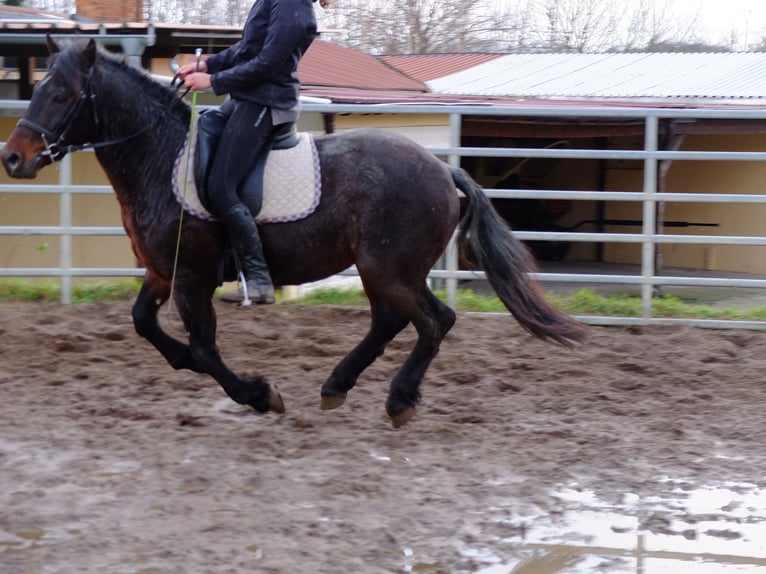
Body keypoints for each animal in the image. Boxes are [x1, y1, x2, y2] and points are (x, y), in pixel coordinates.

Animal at [0, 38, 588, 428]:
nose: (13, 158)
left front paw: (259, 394)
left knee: (431, 321)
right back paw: (337, 387)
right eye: (41, 88)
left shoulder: (191, 278)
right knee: (396, 321)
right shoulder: (163, 272)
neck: (161, 156)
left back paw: (398, 400)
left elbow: (206, 348)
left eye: (62, 94)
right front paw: (193, 365)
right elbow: (145, 323)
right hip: (388, 271)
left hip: (388, 268)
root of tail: (443, 169)